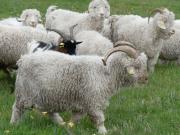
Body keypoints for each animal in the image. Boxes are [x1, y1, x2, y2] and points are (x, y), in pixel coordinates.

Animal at [10, 44, 148, 134]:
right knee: (17, 109)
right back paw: (14, 125)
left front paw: (70, 127)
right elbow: (99, 119)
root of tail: (23, 59)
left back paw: (60, 123)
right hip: (24, 93)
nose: (146, 79)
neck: (106, 72)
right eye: (136, 66)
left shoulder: (82, 104)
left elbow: (75, 119)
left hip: (46, 96)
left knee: (50, 111)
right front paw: (103, 131)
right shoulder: (93, 102)